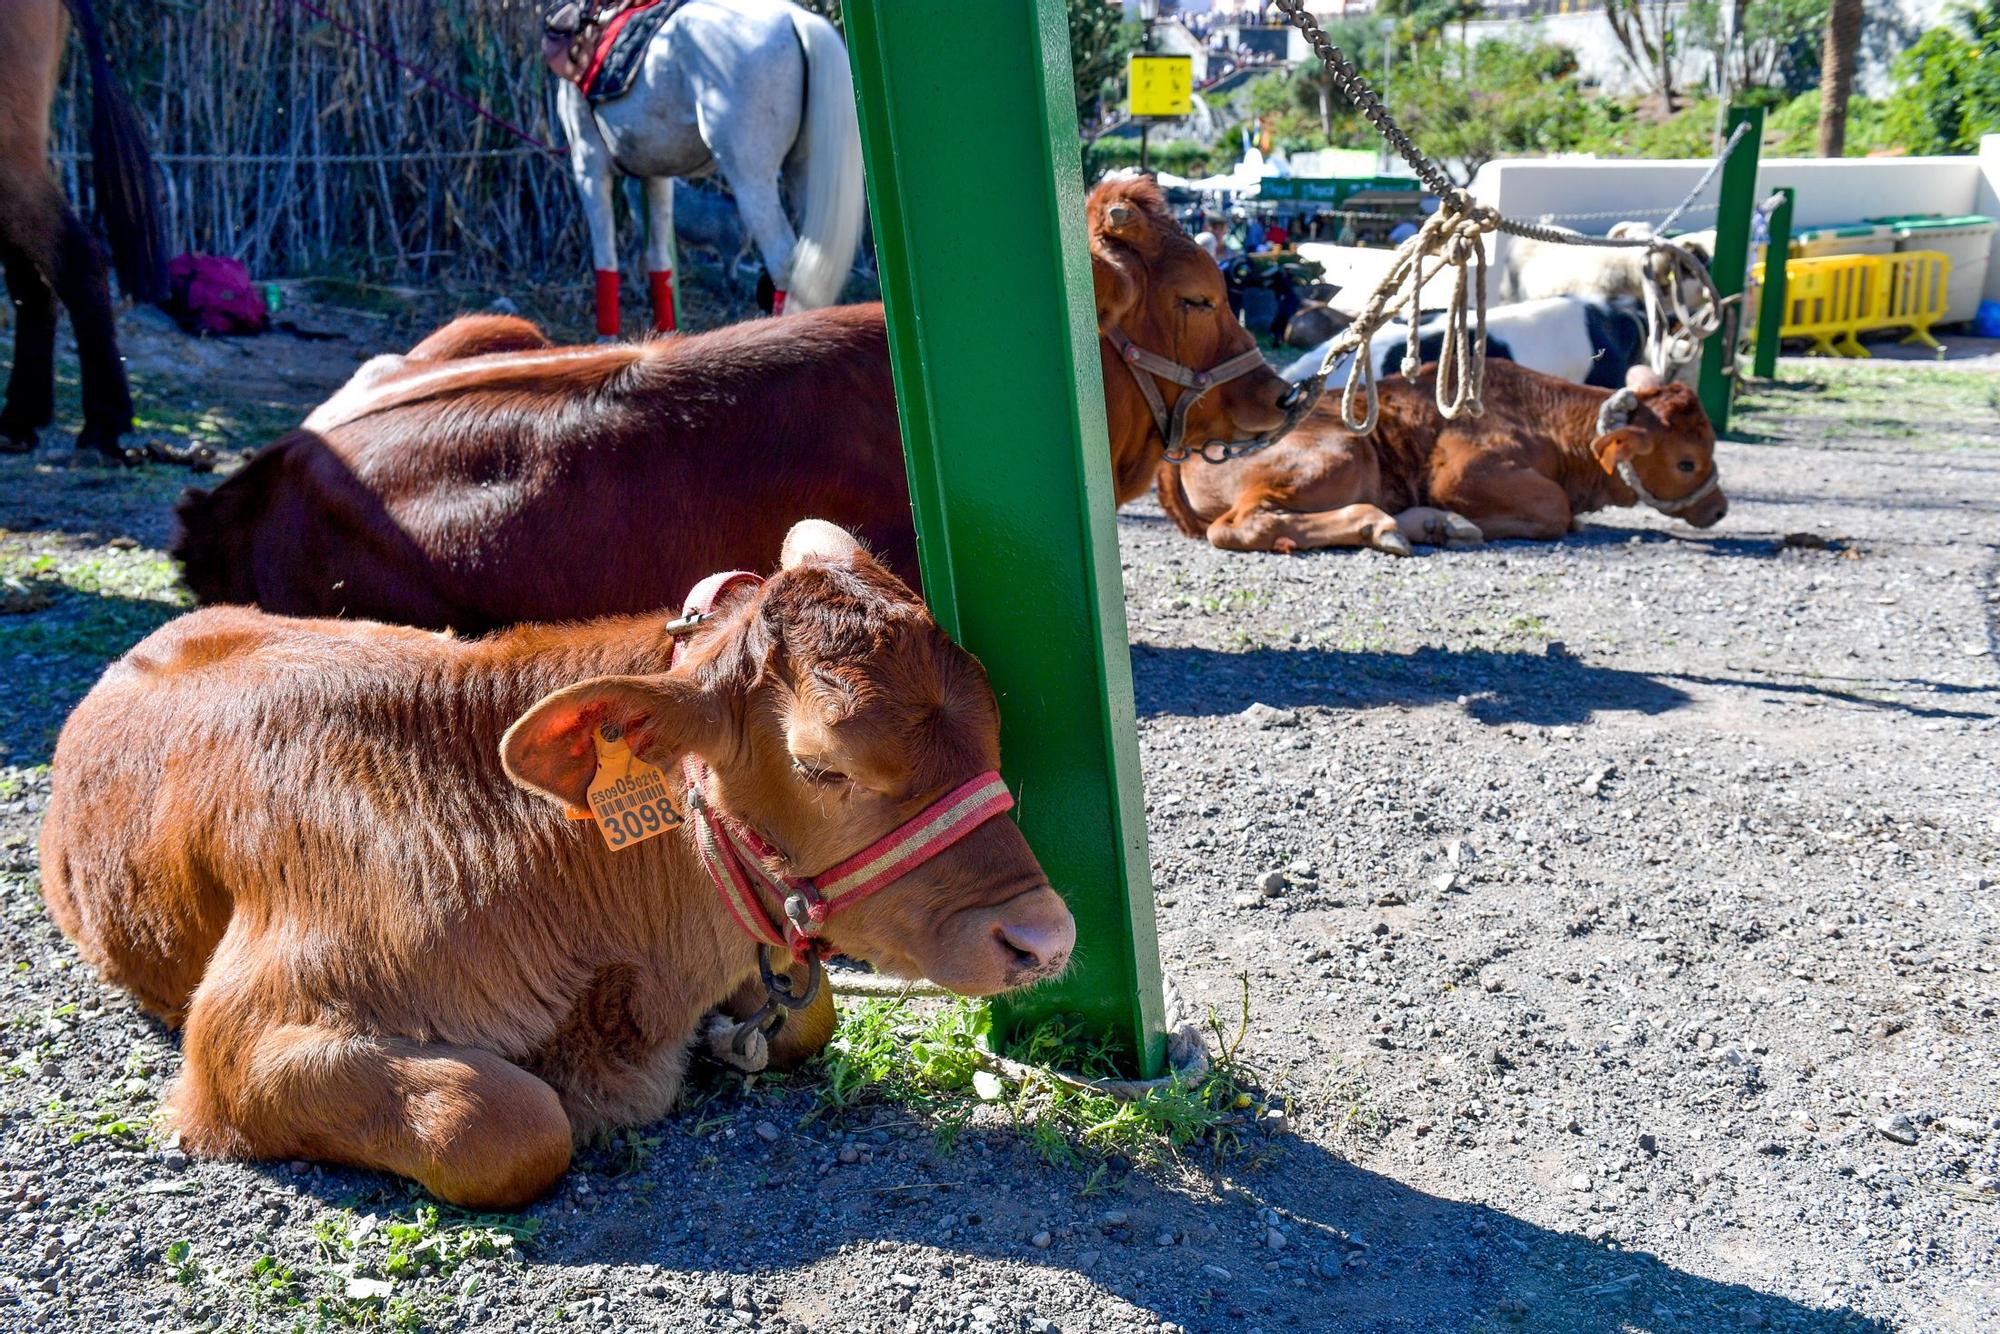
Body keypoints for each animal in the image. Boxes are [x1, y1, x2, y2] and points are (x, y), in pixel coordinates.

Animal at [39, 520, 1072, 1208]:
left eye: (995, 727)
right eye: (824, 766)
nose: (1046, 937)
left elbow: (807, 1016)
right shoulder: (242, 1039)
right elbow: (507, 1122)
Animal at [544, 1, 864, 334]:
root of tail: (796, 18)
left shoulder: (588, 166)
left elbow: (606, 260)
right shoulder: (657, 177)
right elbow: (660, 262)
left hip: (751, 180)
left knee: (786, 264)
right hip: (805, 175)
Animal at [1168, 358, 1728, 556]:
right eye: (1687, 462)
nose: (1720, 507)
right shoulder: (1462, 472)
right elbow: (1555, 510)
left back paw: (1435, 525)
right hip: (1342, 455)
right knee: (1241, 525)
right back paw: (1385, 526)